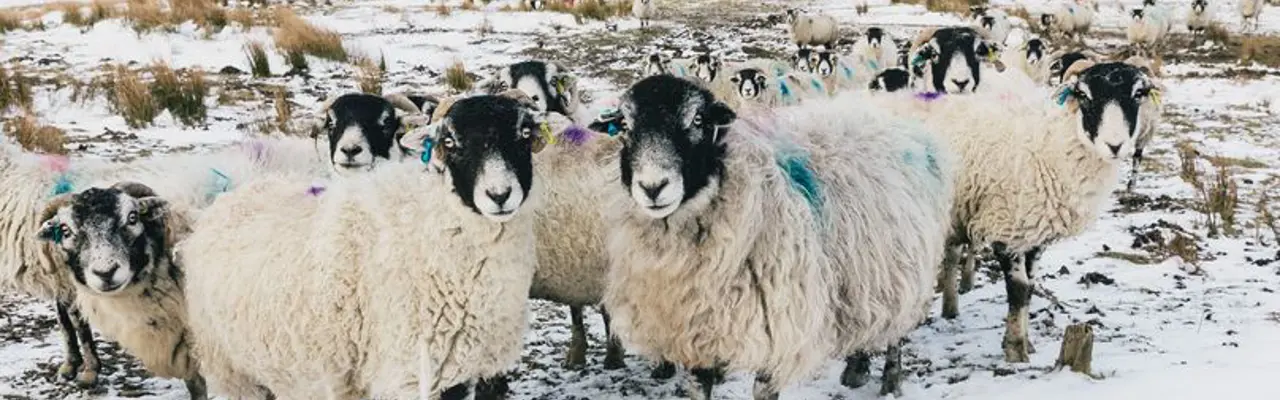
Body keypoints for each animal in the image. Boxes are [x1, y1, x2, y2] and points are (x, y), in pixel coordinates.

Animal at [181, 95, 545, 400]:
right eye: (450, 142)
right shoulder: (408, 376)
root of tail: (233, 195)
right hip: (233, 368)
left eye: (525, 134)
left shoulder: (461, 372)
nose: (499, 195)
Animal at [601, 75, 954, 399]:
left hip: (903, 266)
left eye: (698, 119)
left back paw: (891, 380)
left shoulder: (779, 324)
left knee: (896, 328)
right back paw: (856, 368)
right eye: (624, 126)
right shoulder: (694, 333)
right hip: (864, 273)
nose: (652, 187)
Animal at [865, 59, 1164, 363]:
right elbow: (1019, 290)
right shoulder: (1007, 226)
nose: (1115, 145)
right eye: (1084, 95)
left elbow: (1030, 287)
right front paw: (1015, 349)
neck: (1052, 147)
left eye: (1138, 93)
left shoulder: (1035, 233)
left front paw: (1026, 341)